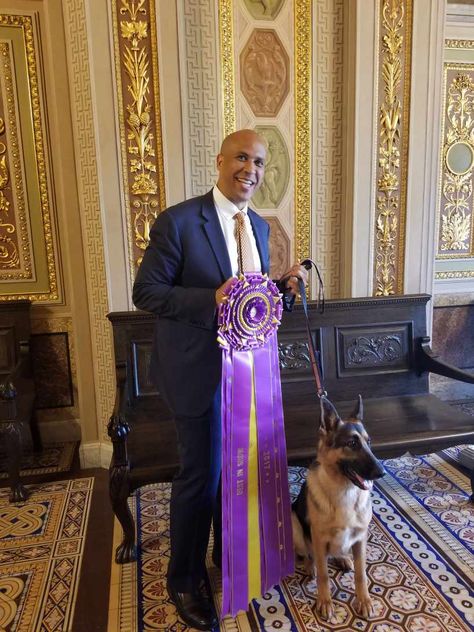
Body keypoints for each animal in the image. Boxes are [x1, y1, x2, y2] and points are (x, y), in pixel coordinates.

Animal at [292, 398, 386, 620]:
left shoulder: (360, 538)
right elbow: (324, 575)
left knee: (337, 553)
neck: (345, 491)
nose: (382, 472)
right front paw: (325, 602)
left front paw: (364, 601)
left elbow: (361, 574)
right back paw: (310, 566)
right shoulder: (318, 539)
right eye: (352, 444)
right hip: (295, 525)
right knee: (309, 555)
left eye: (369, 442)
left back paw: (343, 558)